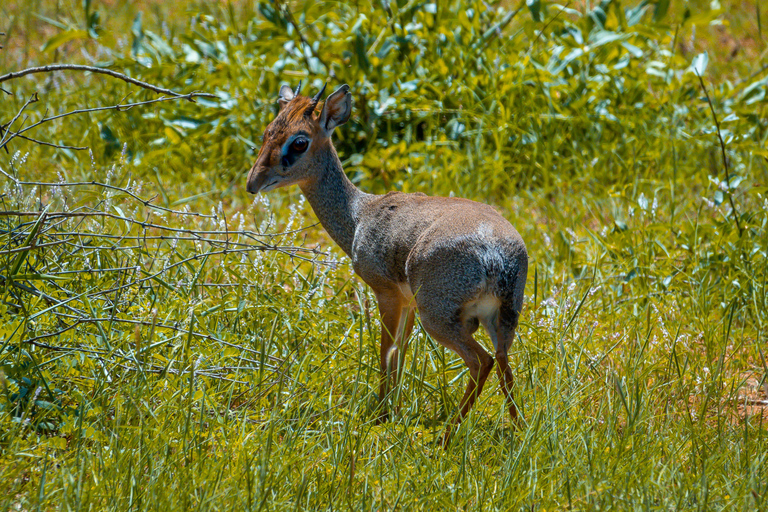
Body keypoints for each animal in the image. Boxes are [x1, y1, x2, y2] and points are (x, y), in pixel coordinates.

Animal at [246, 83, 528, 444]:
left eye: (299, 142)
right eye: (268, 131)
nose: (253, 183)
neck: (360, 214)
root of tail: (495, 253)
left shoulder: (387, 295)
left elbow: (386, 352)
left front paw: (380, 417)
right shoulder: (407, 303)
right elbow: (401, 354)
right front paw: (392, 410)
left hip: (439, 319)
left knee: (483, 362)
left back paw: (444, 439)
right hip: (501, 318)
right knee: (504, 364)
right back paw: (518, 431)